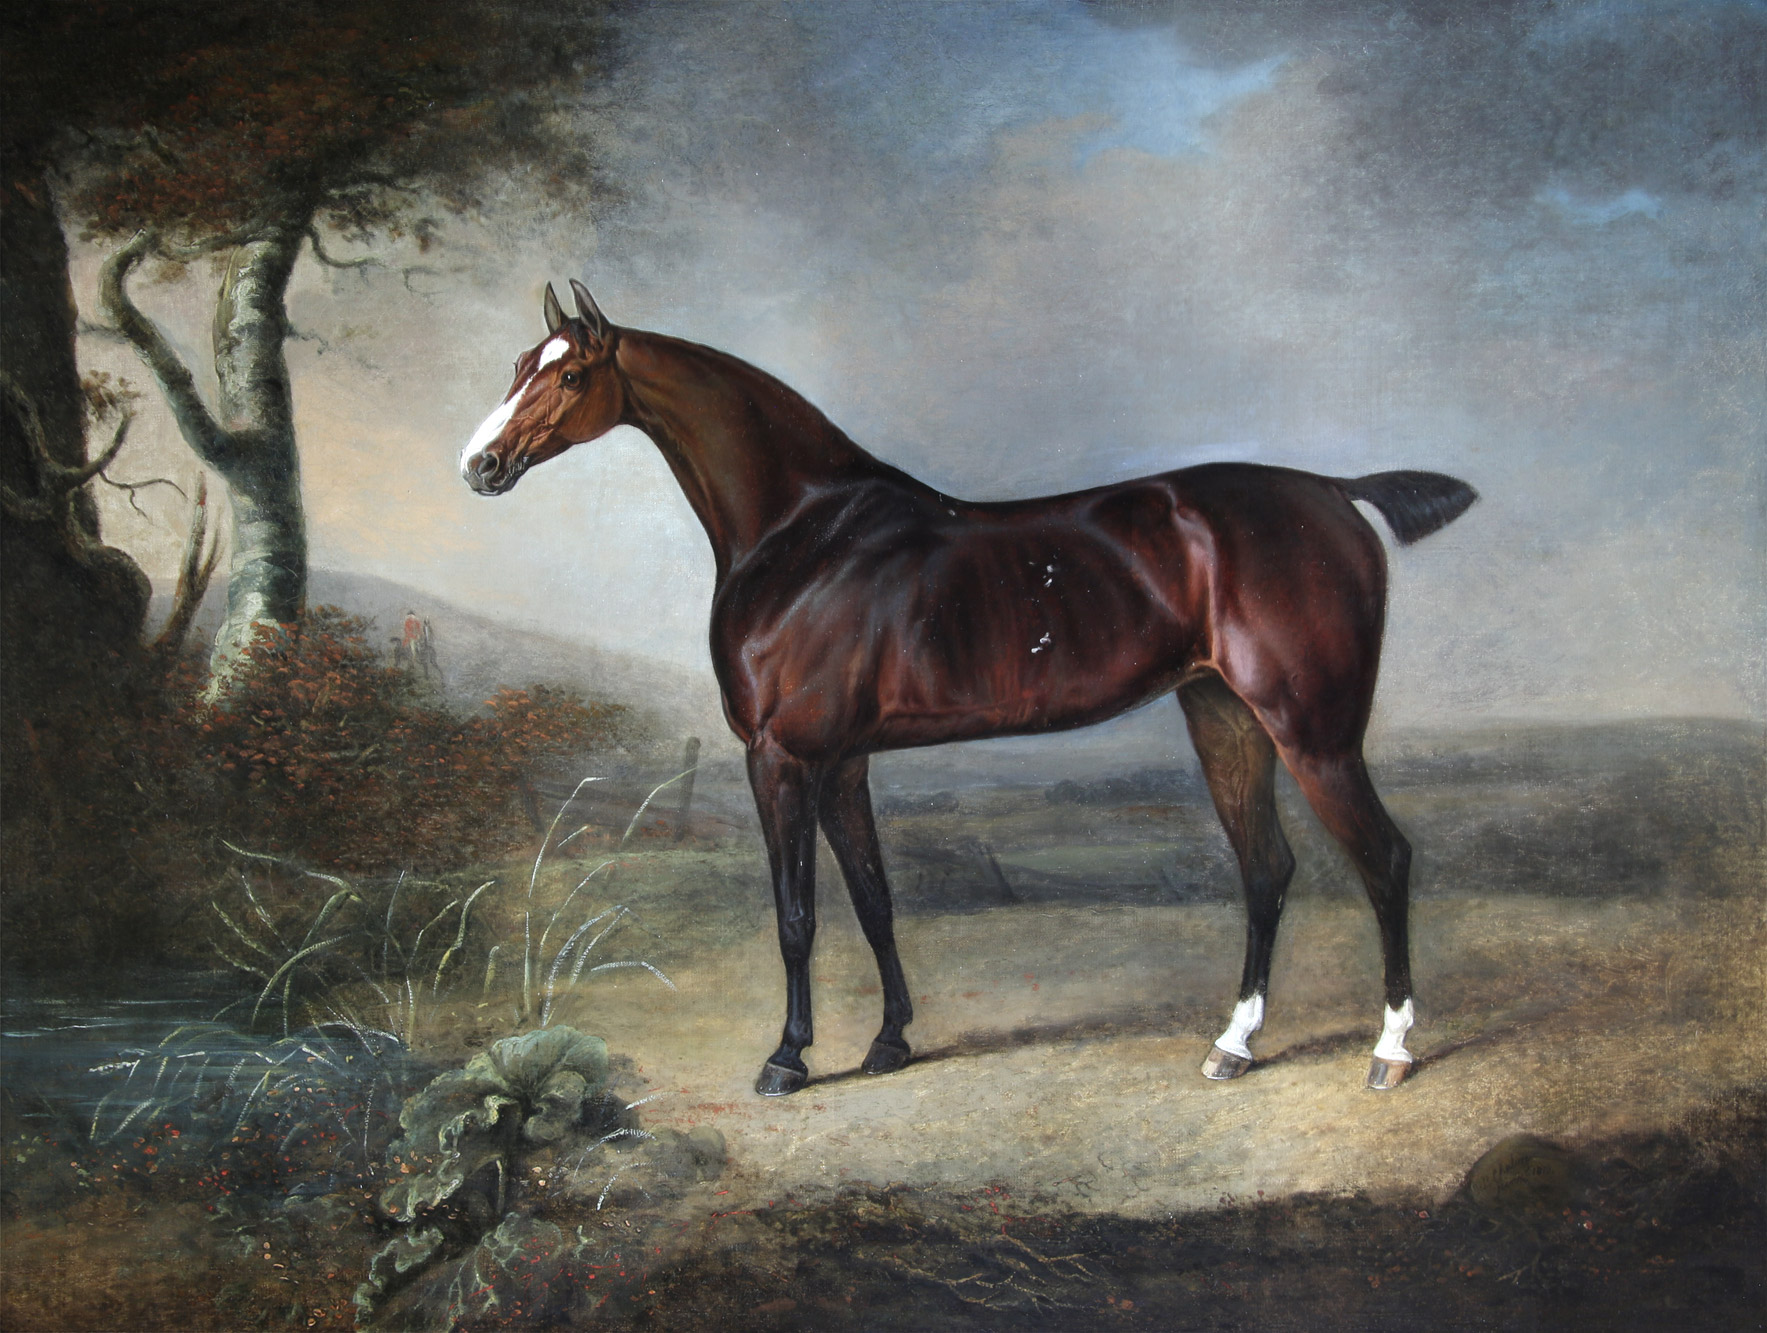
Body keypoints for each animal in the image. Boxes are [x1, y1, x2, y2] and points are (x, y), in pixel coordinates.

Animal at [461, 281, 1477, 1098]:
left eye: (567, 376)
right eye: (515, 365)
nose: (479, 465)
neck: (805, 532)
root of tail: (1333, 491)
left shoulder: (782, 757)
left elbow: (796, 915)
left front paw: (787, 1059)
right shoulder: (843, 762)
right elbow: (873, 899)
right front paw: (888, 1042)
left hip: (1313, 732)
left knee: (1384, 860)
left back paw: (1389, 1051)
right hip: (1225, 718)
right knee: (1265, 868)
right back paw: (1232, 1043)